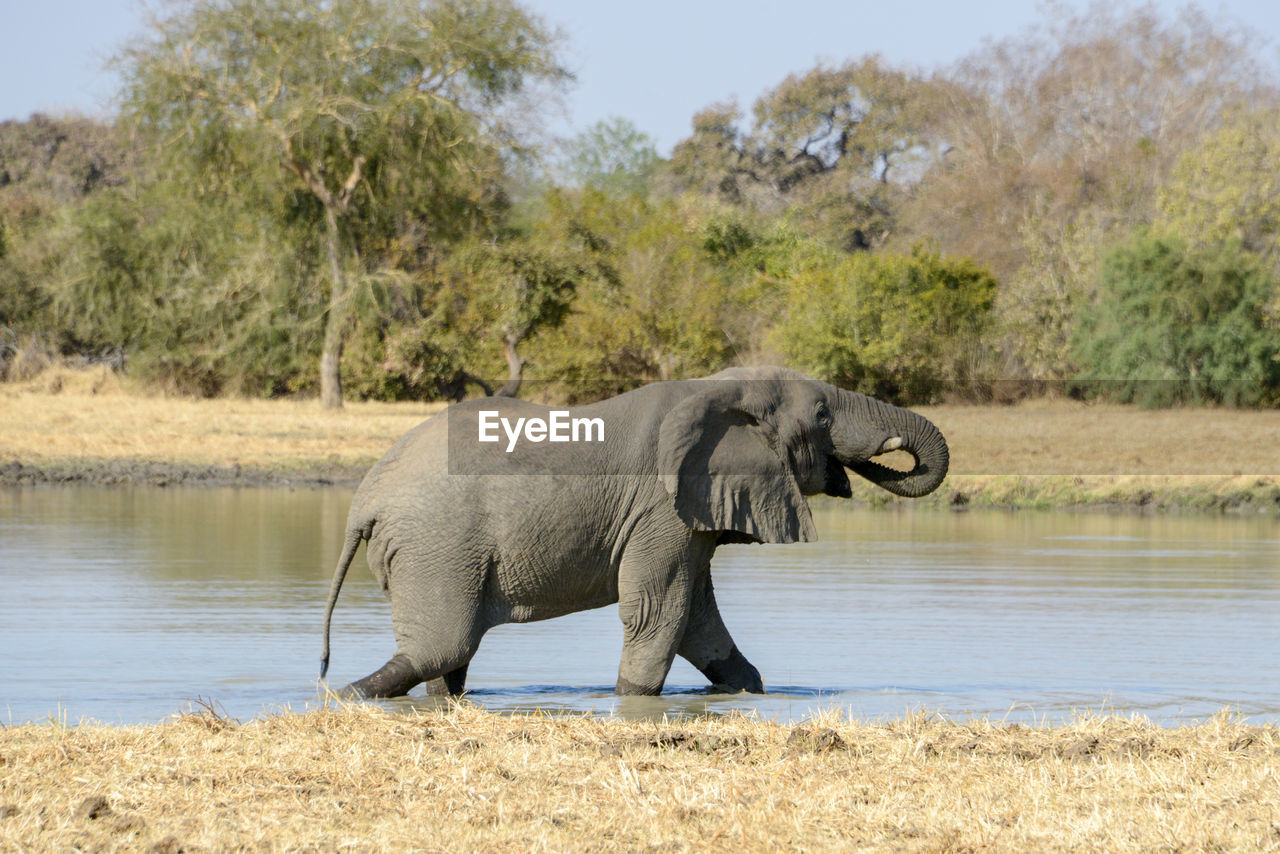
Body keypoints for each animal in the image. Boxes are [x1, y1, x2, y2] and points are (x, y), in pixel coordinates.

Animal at [317, 363, 942, 696]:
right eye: (822, 415)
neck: (720, 388)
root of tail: (362, 502)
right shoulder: (661, 509)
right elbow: (658, 612)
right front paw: (635, 703)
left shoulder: (686, 516)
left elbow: (698, 622)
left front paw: (751, 693)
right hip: (437, 545)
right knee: (440, 649)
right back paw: (343, 696)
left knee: (448, 658)